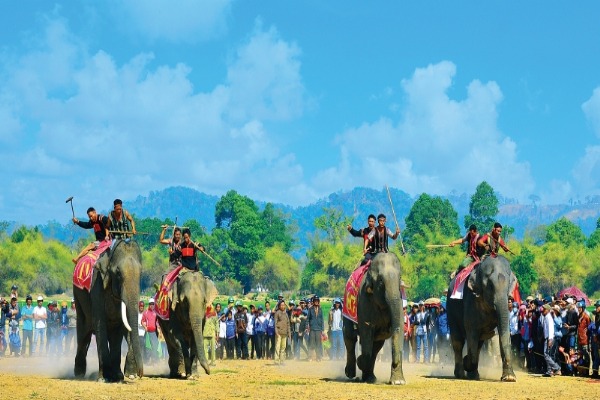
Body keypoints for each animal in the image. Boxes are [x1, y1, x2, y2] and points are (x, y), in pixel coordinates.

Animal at [72, 239, 142, 382]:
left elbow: (119, 330)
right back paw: (79, 374)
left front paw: (118, 376)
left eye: (141, 273)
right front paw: (104, 378)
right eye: (118, 274)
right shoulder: (96, 284)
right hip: (78, 298)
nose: (141, 374)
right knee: (83, 334)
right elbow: (100, 325)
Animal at [344, 252, 406, 386]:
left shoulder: (400, 301)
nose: (395, 362)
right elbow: (366, 329)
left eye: (399, 278)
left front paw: (398, 381)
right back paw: (351, 373)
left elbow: (399, 328)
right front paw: (360, 361)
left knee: (376, 346)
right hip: (346, 307)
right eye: (381, 281)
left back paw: (370, 378)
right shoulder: (364, 300)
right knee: (350, 337)